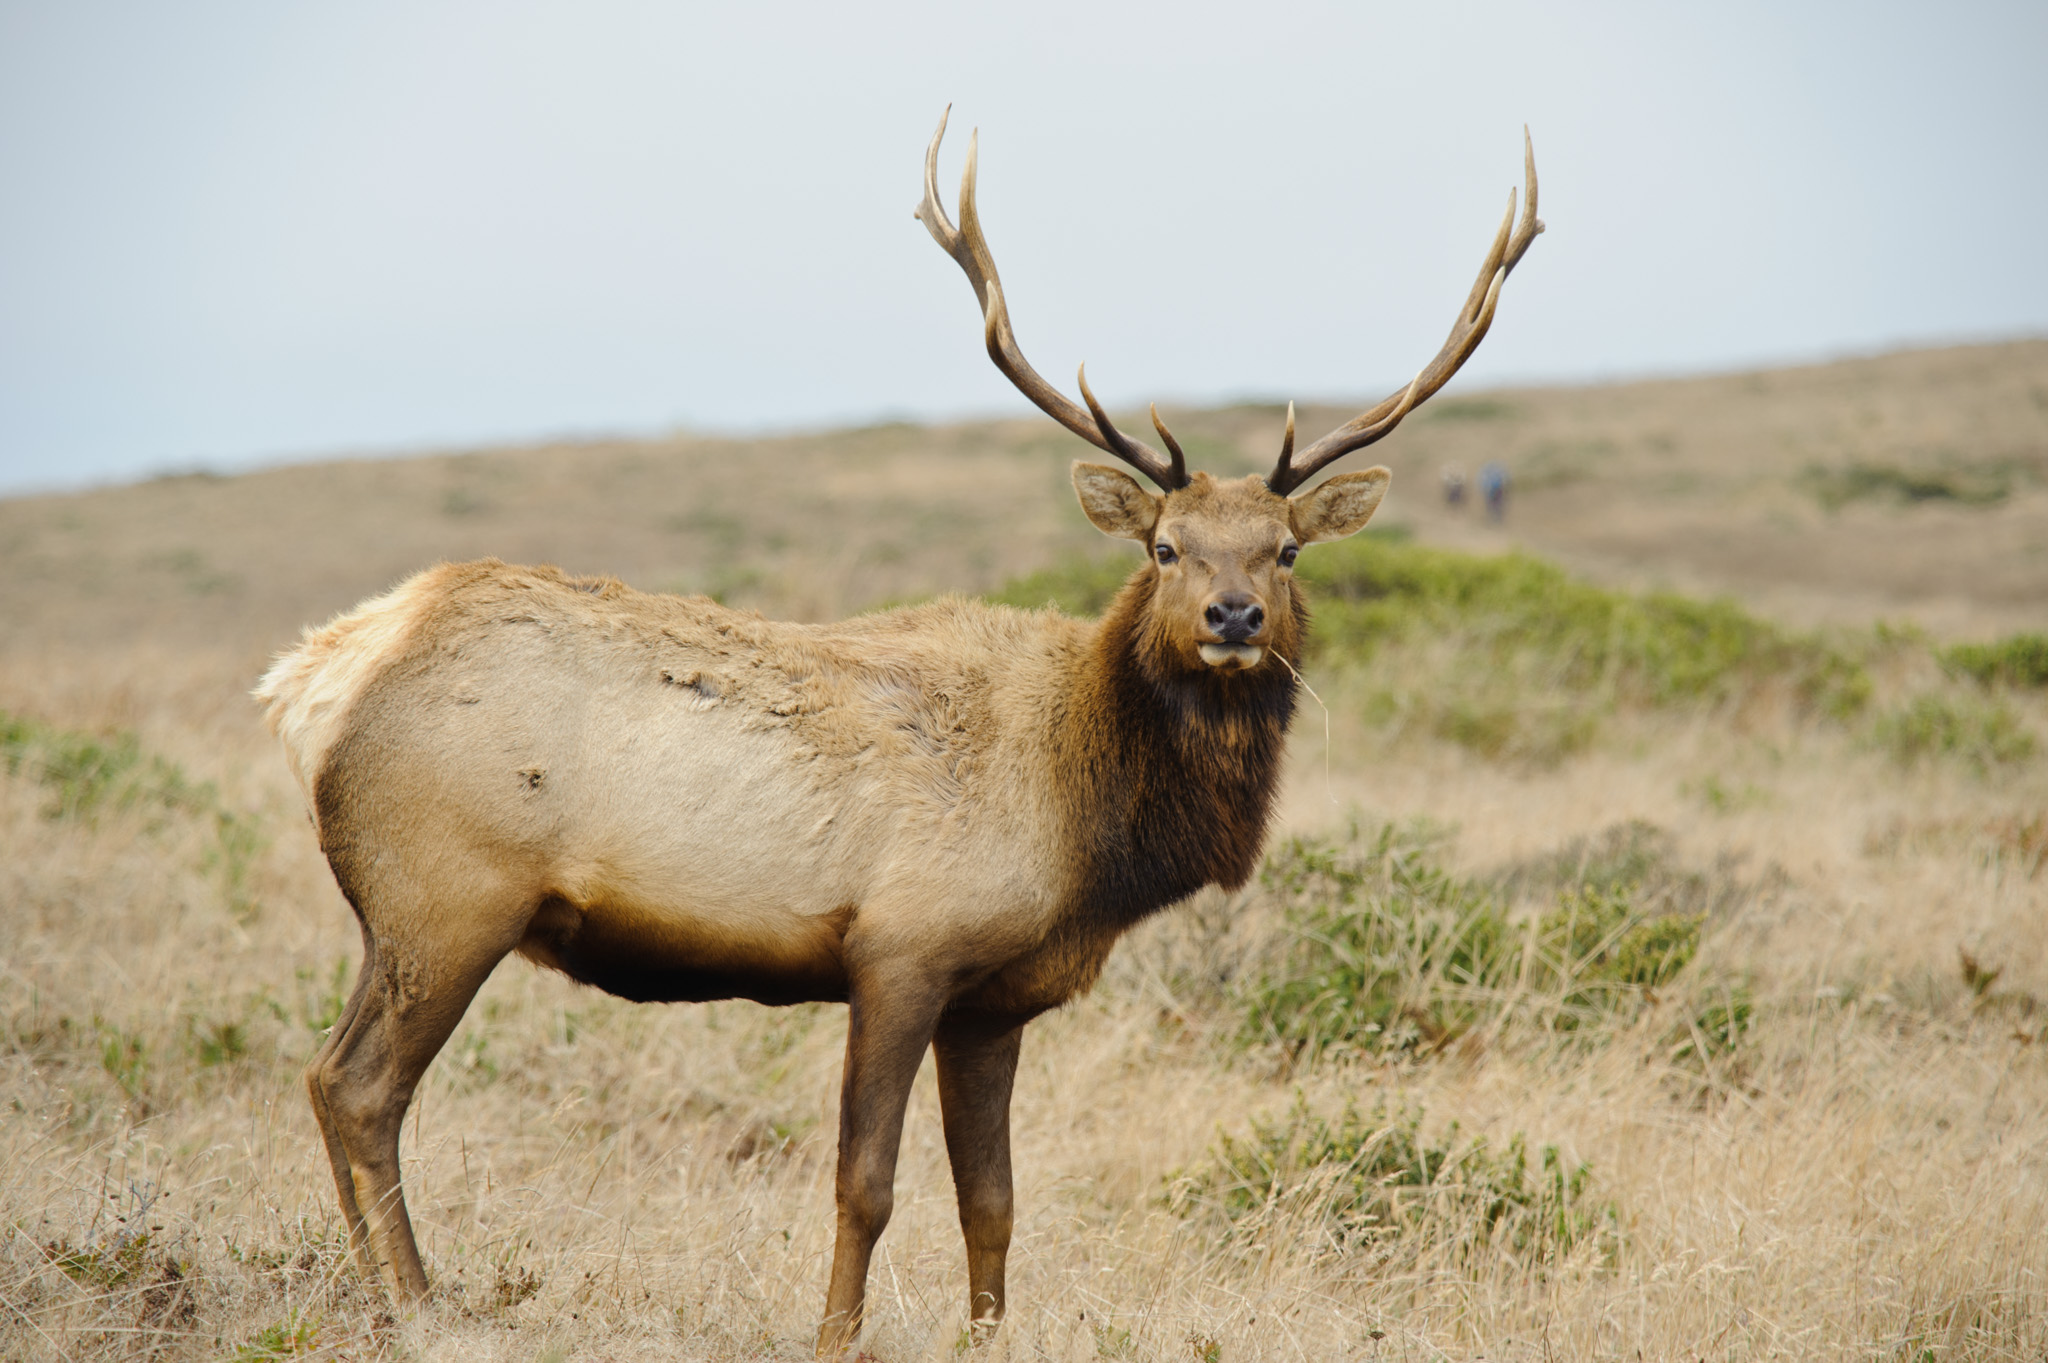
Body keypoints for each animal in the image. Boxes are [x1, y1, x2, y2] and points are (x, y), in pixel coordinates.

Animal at [254, 108, 1540, 1355]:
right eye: (1165, 546)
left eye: (1284, 550)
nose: (1233, 616)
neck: (1088, 826)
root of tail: (319, 673)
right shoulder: (901, 946)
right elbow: (864, 1182)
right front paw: (833, 1336)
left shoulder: (994, 996)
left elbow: (994, 1197)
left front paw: (988, 1335)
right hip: (449, 892)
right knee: (362, 1087)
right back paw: (416, 1306)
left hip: (398, 910)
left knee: (324, 1076)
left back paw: (377, 1295)